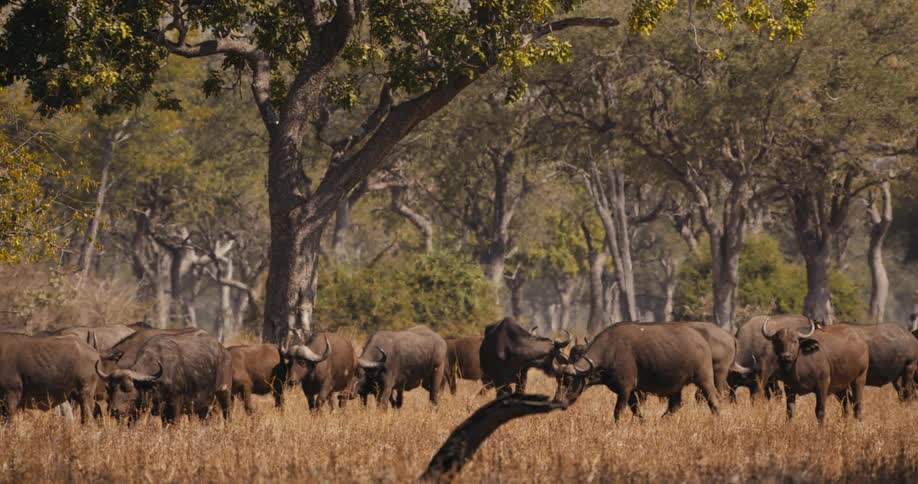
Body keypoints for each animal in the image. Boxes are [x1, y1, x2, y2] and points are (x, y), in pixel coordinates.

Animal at [95, 331, 232, 424]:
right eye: (109, 389)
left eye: (128, 388)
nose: (114, 410)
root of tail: (223, 351)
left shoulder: (174, 409)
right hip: (204, 405)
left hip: (224, 392)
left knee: (227, 413)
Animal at [554, 322, 722, 420]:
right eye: (558, 380)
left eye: (569, 381)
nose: (557, 401)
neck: (611, 350)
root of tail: (701, 341)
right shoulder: (631, 391)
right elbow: (635, 409)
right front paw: (642, 422)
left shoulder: (625, 388)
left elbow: (618, 410)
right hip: (676, 386)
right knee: (674, 406)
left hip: (704, 379)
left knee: (714, 400)